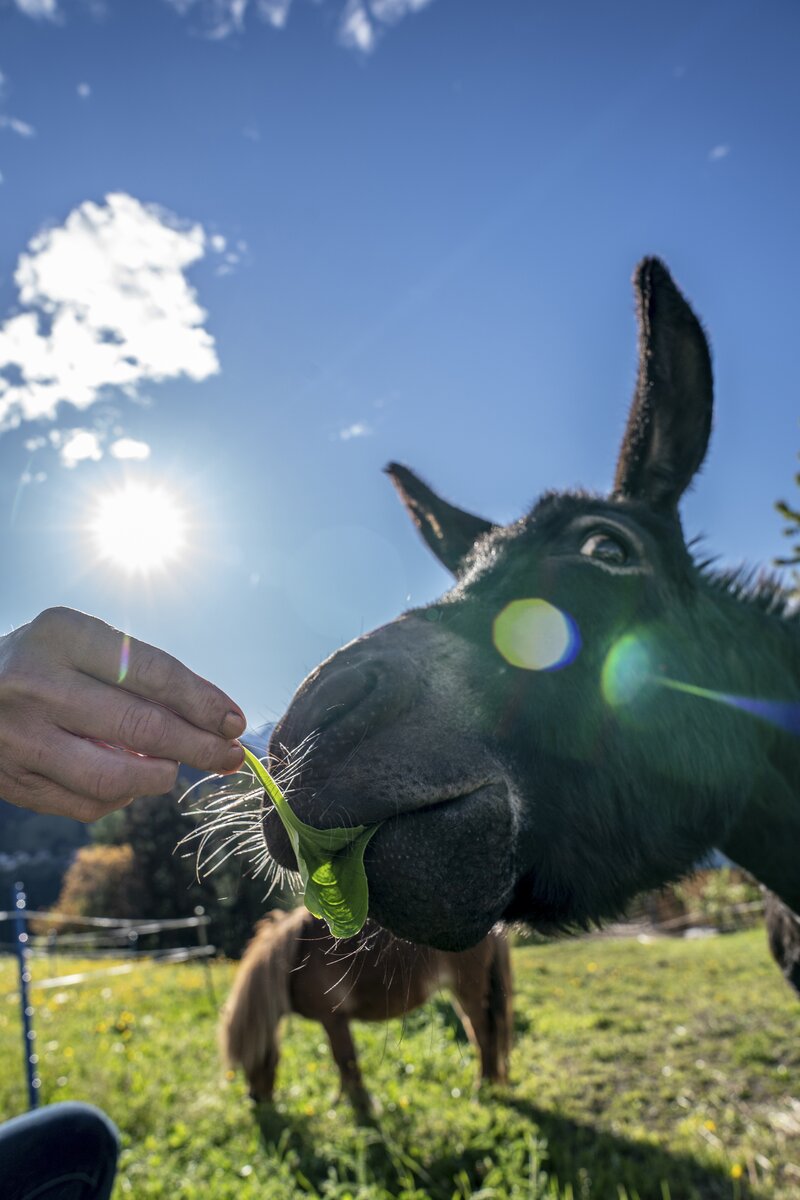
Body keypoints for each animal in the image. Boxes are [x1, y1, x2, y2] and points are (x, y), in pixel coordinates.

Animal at [221, 907, 513, 1113]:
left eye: (252, 1055)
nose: (254, 1099)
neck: (296, 957)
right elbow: (342, 1063)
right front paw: (342, 1100)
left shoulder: (333, 1020)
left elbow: (345, 1060)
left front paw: (361, 1104)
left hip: (469, 994)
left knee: (484, 1036)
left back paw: (483, 1089)